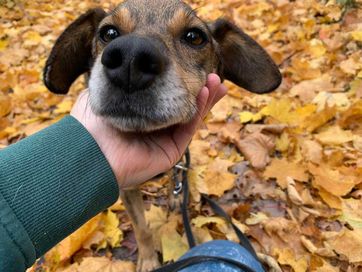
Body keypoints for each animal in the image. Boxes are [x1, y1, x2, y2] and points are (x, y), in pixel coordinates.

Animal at [43, 0, 282, 270]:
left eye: (194, 37)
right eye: (109, 33)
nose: (130, 58)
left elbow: (177, 174)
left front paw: (177, 195)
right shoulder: (128, 190)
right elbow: (141, 228)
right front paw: (148, 260)